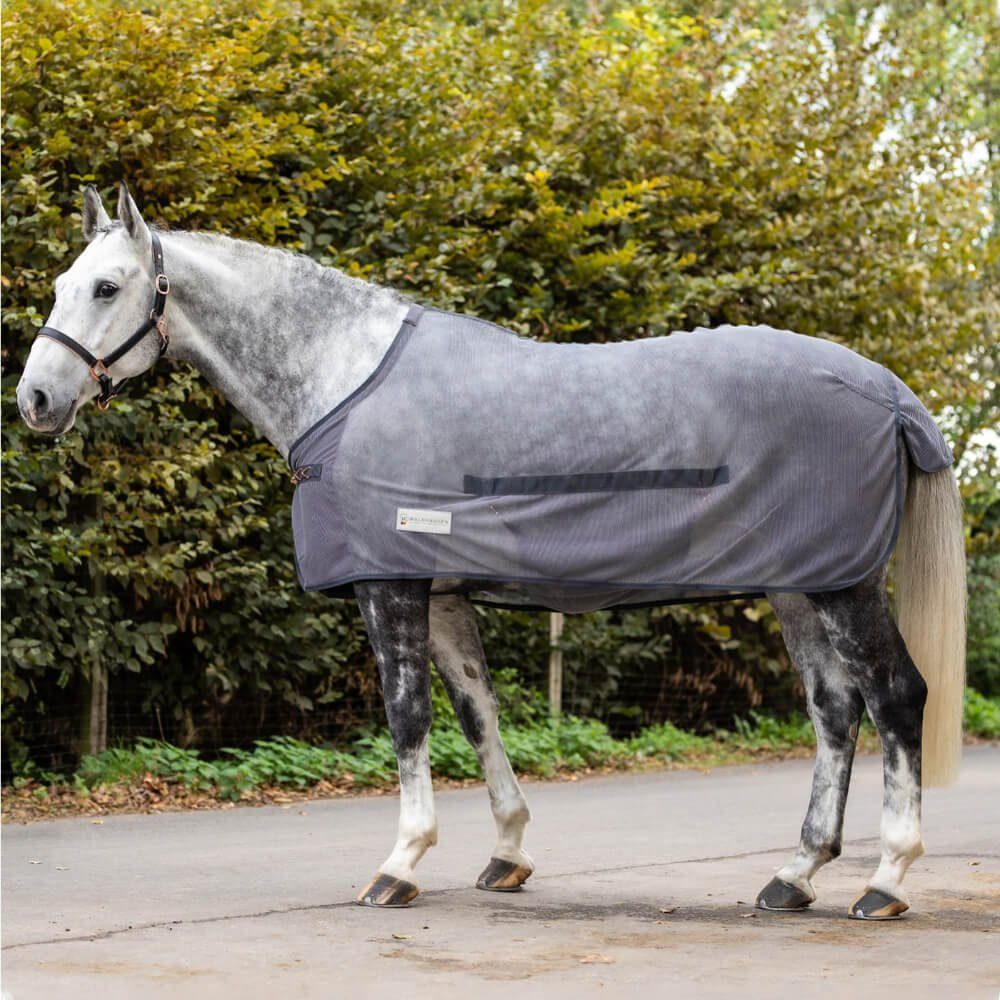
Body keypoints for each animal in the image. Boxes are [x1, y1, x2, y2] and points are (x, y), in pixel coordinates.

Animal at [17, 184, 965, 919]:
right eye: (60, 283)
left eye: (106, 286)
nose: (34, 399)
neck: (344, 379)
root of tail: (885, 388)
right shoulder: (441, 595)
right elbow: (478, 712)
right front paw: (506, 854)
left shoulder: (390, 585)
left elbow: (409, 718)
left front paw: (399, 864)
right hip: (799, 586)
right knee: (834, 711)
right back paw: (794, 876)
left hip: (842, 587)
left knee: (894, 697)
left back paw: (885, 880)